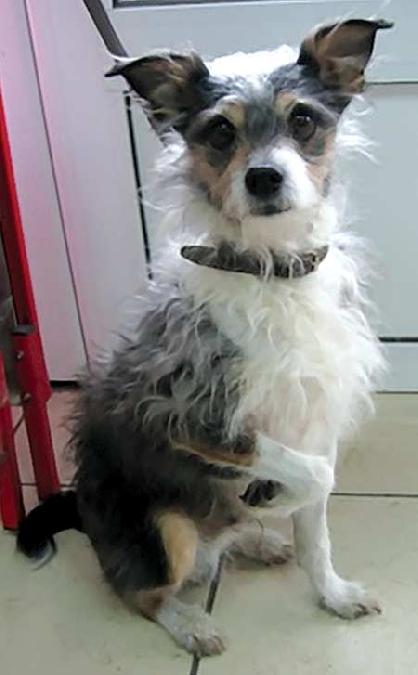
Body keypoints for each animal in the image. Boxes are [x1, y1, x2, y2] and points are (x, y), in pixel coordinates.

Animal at [18, 18, 391, 657]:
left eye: (303, 120)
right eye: (220, 130)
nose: (263, 177)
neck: (269, 270)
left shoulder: (316, 416)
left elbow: (317, 533)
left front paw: (333, 594)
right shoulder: (185, 415)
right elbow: (315, 476)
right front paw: (277, 495)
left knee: (219, 544)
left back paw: (257, 541)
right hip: (163, 530)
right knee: (143, 591)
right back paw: (191, 621)